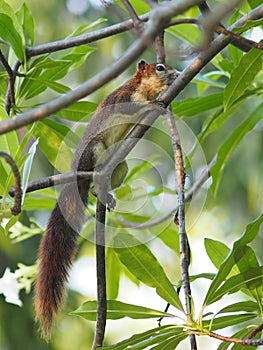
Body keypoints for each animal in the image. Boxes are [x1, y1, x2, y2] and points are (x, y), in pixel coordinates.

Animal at [34, 58, 177, 340]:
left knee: (98, 185)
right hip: (96, 149)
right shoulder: (122, 98)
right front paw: (154, 105)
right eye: (160, 68)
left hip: (120, 168)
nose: (177, 74)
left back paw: (103, 195)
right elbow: (136, 106)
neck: (139, 87)